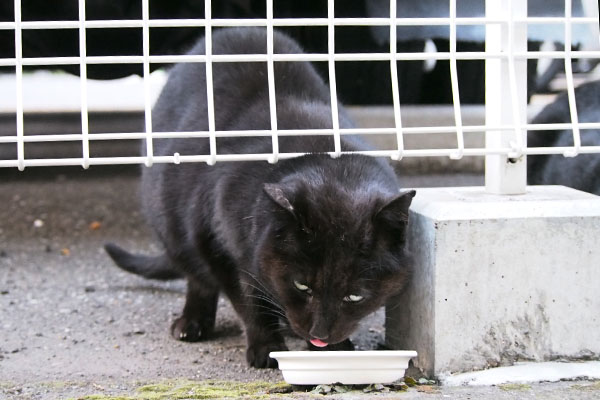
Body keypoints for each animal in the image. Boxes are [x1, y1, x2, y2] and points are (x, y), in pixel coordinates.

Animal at [105, 26, 414, 368]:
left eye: (355, 295)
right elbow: (248, 301)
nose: (319, 333)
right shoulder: (216, 243)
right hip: (171, 224)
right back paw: (192, 323)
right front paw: (267, 348)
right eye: (302, 285)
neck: (324, 158)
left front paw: (335, 350)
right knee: (198, 279)